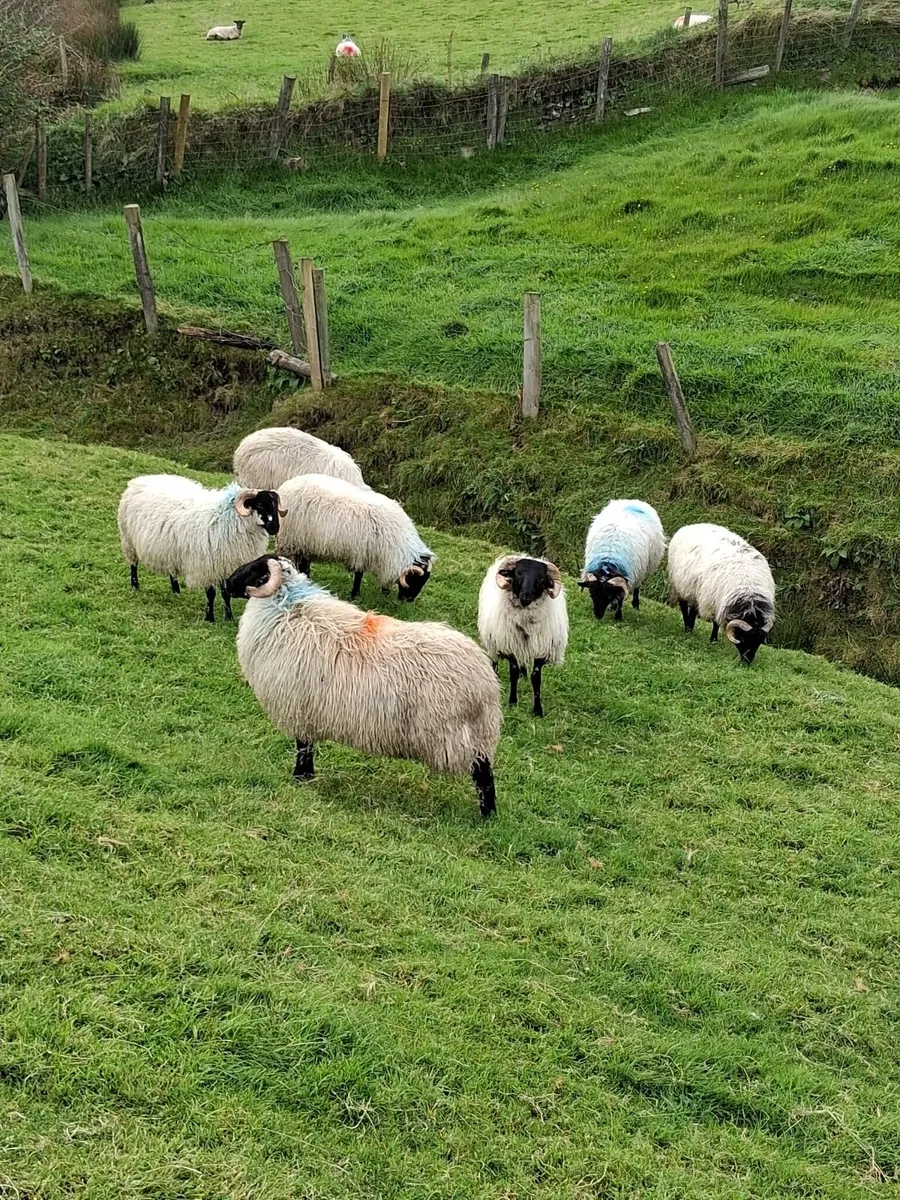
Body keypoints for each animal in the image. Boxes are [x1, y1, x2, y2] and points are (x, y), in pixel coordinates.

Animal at [117, 474, 284, 622]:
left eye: (276, 506)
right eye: (260, 505)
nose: (275, 528)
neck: (228, 519)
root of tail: (139, 480)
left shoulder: (226, 565)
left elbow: (225, 594)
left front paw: (228, 617)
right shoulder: (207, 564)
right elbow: (211, 593)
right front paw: (209, 618)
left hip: (169, 548)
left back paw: (176, 590)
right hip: (128, 539)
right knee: (133, 565)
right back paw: (135, 586)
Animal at [225, 555, 502, 817]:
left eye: (256, 570)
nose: (227, 584)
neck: (290, 608)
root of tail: (485, 679)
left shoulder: (299, 710)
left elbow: (303, 748)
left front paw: (300, 777)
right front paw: (307, 777)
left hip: (459, 735)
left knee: (483, 774)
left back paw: (487, 815)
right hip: (476, 732)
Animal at [275, 473, 434, 602]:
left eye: (424, 581)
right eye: (414, 579)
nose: (409, 600)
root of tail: (287, 485)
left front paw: (384, 591)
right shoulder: (361, 552)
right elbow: (359, 575)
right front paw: (355, 595)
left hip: (305, 542)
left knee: (305, 564)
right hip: (290, 540)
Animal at [477, 555, 568, 717]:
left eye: (541, 578)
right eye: (518, 573)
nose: (525, 596)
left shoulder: (541, 650)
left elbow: (536, 678)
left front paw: (537, 709)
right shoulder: (509, 645)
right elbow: (513, 671)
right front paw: (513, 701)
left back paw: (523, 674)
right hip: (493, 639)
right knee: (494, 658)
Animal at [667, 523, 775, 664]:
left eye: (759, 641)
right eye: (743, 638)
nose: (747, 661)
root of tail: (692, 525)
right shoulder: (715, 602)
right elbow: (716, 623)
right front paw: (713, 640)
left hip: (696, 591)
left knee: (694, 609)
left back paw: (690, 627)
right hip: (680, 585)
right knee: (684, 607)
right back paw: (688, 629)